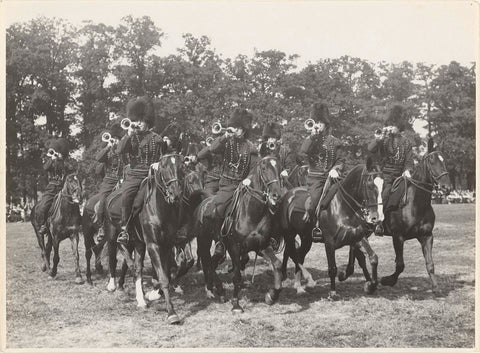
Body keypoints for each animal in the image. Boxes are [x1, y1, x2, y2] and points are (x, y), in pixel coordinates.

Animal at [194, 156, 286, 310]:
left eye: (279, 168)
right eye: (264, 168)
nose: (276, 195)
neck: (251, 213)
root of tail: (204, 203)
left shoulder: (261, 245)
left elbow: (277, 265)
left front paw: (271, 295)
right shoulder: (235, 248)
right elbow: (237, 276)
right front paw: (236, 304)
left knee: (212, 262)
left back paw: (216, 289)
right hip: (204, 242)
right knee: (208, 262)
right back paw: (214, 290)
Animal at [278, 158, 382, 298]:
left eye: (383, 185)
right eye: (370, 185)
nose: (375, 218)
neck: (343, 207)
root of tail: (288, 195)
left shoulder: (357, 237)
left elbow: (371, 258)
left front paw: (370, 285)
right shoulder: (329, 242)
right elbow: (333, 268)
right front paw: (333, 292)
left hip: (306, 239)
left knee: (299, 255)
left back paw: (299, 286)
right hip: (289, 235)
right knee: (292, 253)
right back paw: (298, 280)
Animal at [376, 146, 452, 292]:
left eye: (444, 161)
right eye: (432, 162)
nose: (447, 187)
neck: (415, 203)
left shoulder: (426, 236)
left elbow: (430, 264)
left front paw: (435, 288)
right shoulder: (398, 237)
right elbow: (400, 265)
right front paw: (387, 280)